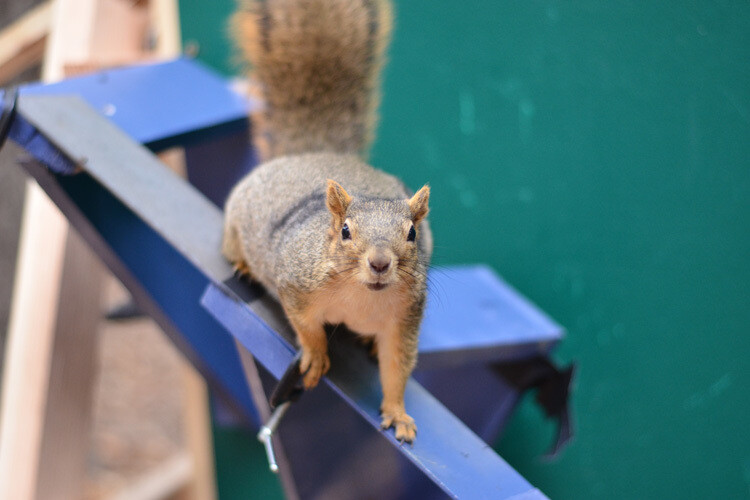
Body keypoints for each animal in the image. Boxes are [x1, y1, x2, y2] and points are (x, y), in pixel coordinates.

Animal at [223, 0, 432, 444]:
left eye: (412, 233)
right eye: (346, 231)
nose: (380, 263)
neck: (363, 297)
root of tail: (311, 154)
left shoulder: (404, 320)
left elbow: (397, 367)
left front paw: (398, 412)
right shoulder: (295, 283)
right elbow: (306, 327)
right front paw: (317, 356)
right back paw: (244, 264)